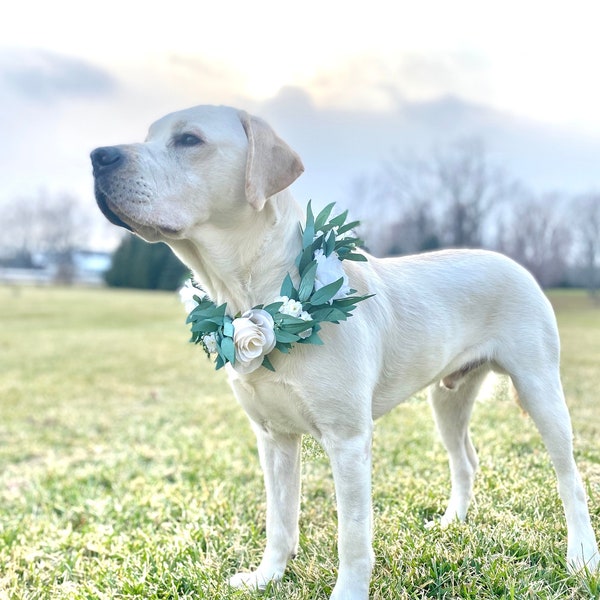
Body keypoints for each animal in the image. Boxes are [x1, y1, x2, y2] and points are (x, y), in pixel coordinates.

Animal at [90, 105, 600, 596]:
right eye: (149, 135)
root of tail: (513, 263)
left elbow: (352, 535)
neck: (255, 298)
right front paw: (266, 577)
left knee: (569, 477)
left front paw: (348, 591)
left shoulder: (349, 439)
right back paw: (452, 523)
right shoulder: (273, 437)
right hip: (446, 398)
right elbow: (279, 520)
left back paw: (581, 556)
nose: (98, 156)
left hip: (539, 387)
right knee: (466, 461)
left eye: (188, 139)